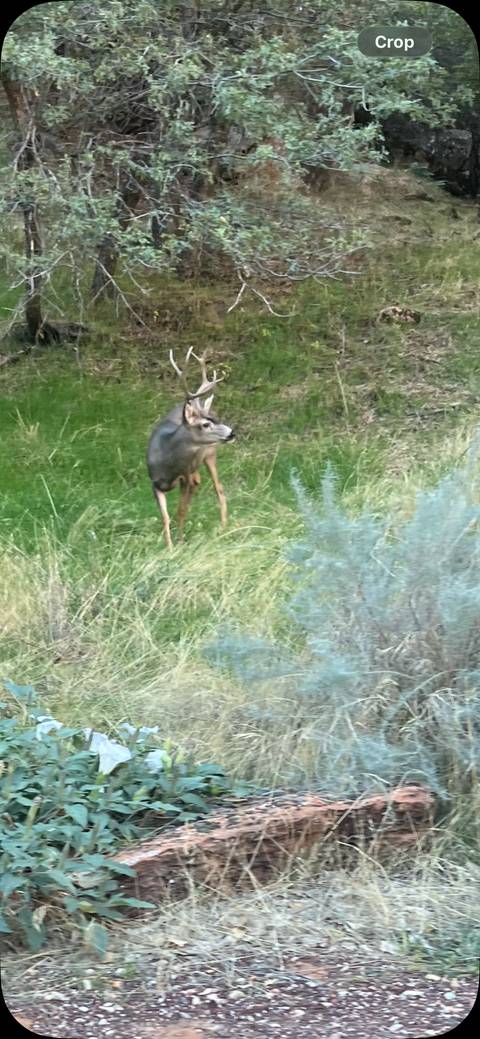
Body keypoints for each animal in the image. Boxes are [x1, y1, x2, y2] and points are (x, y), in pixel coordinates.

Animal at [147, 348, 235, 549]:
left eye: (216, 420)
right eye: (205, 424)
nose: (232, 433)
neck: (167, 465)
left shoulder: (184, 477)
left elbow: (181, 510)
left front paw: (180, 542)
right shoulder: (154, 483)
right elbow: (165, 517)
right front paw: (169, 548)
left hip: (210, 454)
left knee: (219, 489)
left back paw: (224, 528)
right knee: (199, 480)